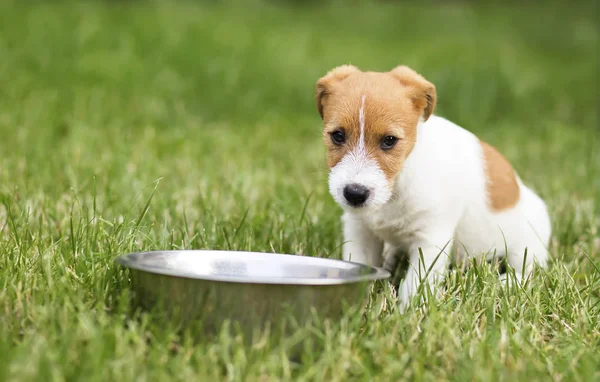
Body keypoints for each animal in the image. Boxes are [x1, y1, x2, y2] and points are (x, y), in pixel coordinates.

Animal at [316, 65, 552, 310]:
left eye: (389, 140)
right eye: (338, 135)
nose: (354, 194)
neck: (396, 186)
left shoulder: (430, 238)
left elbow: (414, 283)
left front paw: (407, 313)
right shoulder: (360, 230)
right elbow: (360, 264)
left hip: (528, 243)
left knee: (527, 270)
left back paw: (506, 282)